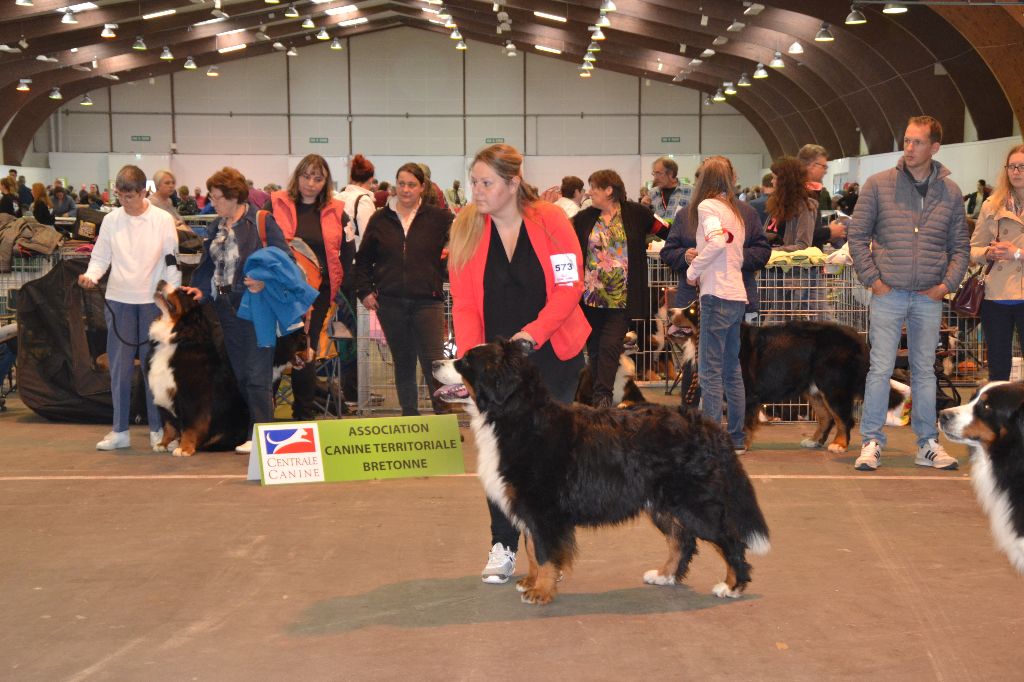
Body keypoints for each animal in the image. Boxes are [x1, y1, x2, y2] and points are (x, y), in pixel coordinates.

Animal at [430, 337, 770, 602]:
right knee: (682, 540)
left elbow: (543, 551)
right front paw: (531, 581)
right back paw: (664, 575)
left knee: (730, 539)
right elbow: (530, 548)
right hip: (663, 504)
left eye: (466, 361)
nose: (434, 363)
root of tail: (706, 423)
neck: (514, 417)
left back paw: (732, 586)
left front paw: (540, 591)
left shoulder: (542, 508)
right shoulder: (529, 507)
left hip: (695, 502)